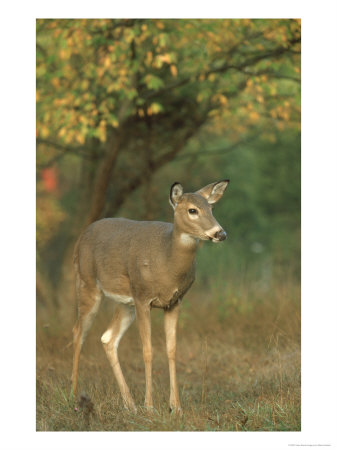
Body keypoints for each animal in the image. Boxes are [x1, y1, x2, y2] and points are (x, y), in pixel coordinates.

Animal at [71, 181, 228, 414]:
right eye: (192, 210)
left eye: (212, 208)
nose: (220, 234)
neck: (167, 259)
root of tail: (81, 237)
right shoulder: (143, 298)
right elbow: (148, 350)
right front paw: (150, 406)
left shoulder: (174, 302)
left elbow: (172, 350)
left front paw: (176, 407)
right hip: (88, 284)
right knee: (78, 333)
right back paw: (73, 397)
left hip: (126, 303)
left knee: (107, 338)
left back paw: (129, 404)